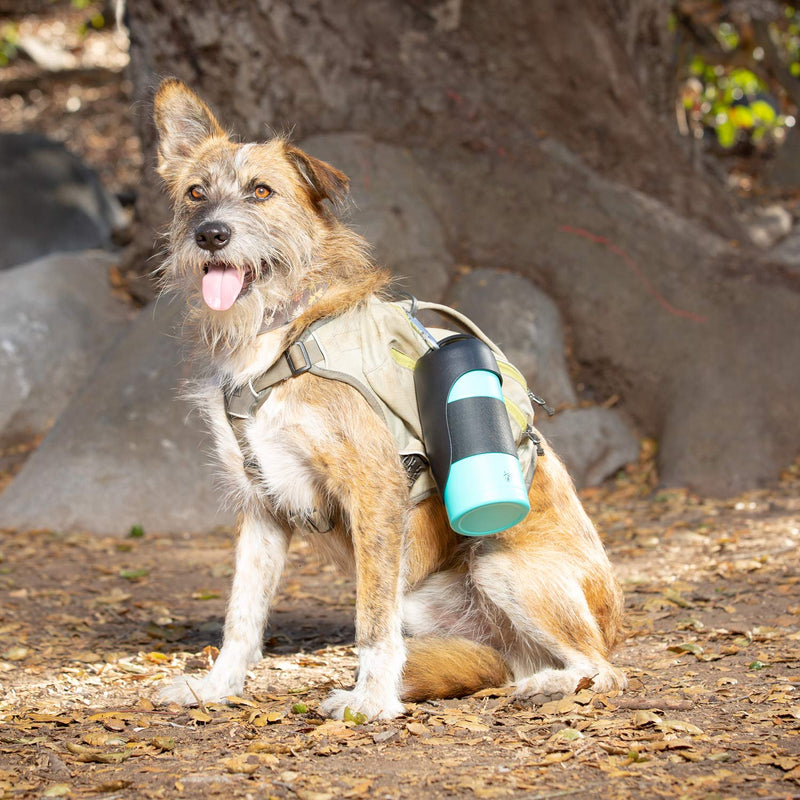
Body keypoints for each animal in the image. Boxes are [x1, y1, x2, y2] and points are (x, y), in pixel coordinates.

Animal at [150, 79, 624, 720]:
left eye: (261, 191)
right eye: (196, 193)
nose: (210, 235)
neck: (282, 334)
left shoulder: (374, 489)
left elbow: (371, 624)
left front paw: (370, 699)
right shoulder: (264, 507)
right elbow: (242, 617)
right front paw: (217, 686)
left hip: (500, 566)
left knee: (604, 669)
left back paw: (549, 685)